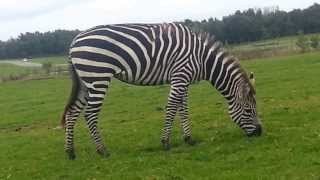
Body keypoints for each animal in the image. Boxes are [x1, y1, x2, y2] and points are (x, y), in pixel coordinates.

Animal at [61, 22, 262, 159]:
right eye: (248, 110)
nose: (260, 133)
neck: (203, 60)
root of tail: (74, 41)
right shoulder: (180, 75)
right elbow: (172, 108)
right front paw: (165, 142)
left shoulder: (184, 80)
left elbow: (183, 109)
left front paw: (189, 139)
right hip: (98, 77)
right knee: (90, 115)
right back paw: (102, 150)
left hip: (86, 81)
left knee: (72, 113)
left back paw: (70, 152)